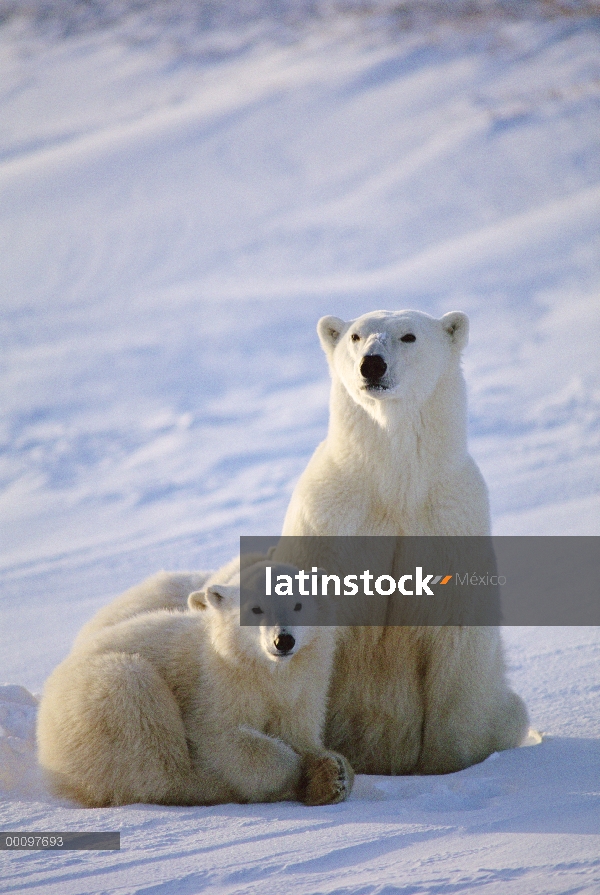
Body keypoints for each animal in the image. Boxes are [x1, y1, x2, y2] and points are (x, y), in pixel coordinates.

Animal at [36, 564, 352, 808]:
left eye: (298, 604)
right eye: (255, 608)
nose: (283, 640)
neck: (263, 668)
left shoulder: (304, 685)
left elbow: (295, 730)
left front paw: (332, 771)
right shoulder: (214, 684)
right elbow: (223, 738)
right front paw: (317, 775)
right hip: (101, 696)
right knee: (150, 743)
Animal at [278, 312, 528, 772]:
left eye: (409, 336)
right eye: (355, 335)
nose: (372, 364)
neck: (395, 484)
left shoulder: (449, 521)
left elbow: (456, 644)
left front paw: (444, 766)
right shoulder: (333, 519)